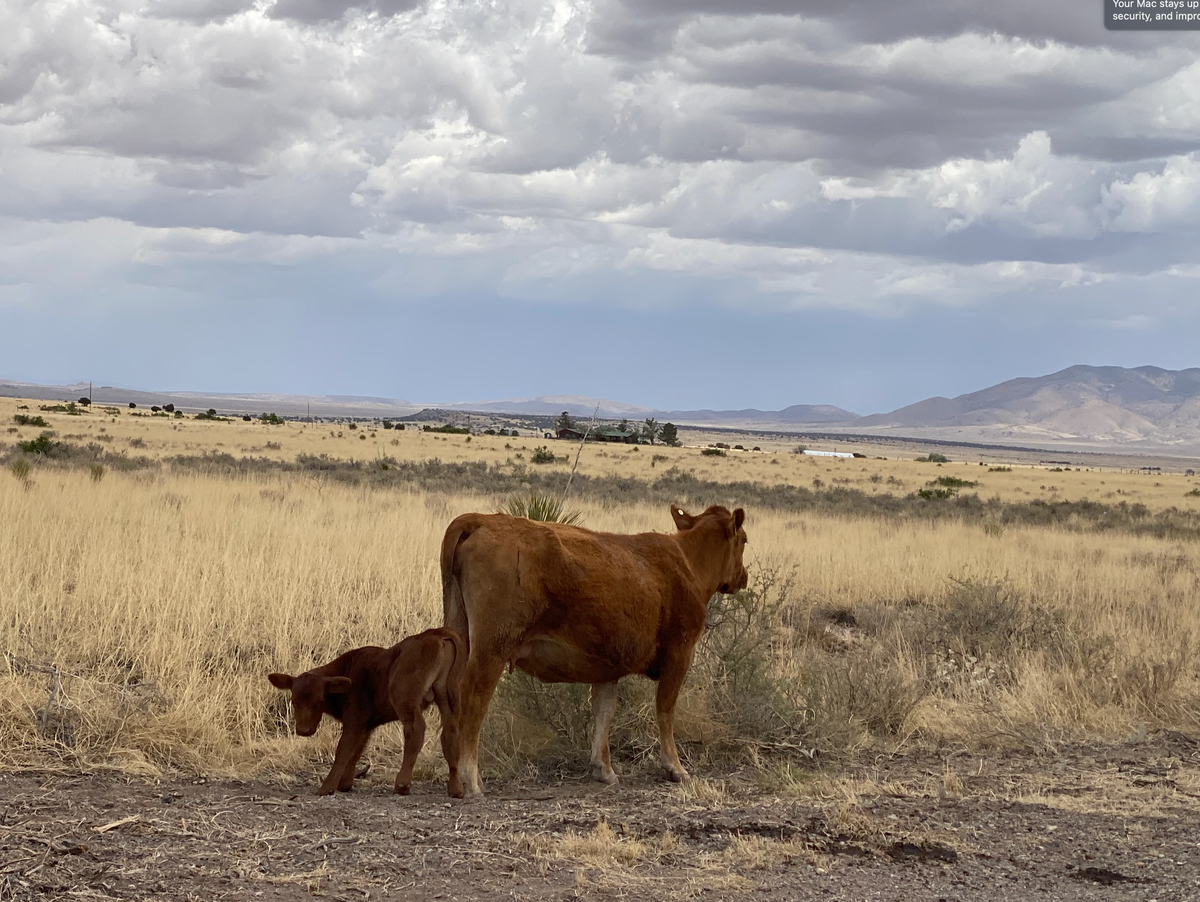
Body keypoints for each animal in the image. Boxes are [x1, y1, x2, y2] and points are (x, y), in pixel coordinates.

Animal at [267, 628, 463, 796]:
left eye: (320, 701)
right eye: (294, 701)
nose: (304, 730)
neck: (348, 671)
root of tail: (435, 633)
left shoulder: (355, 720)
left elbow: (343, 750)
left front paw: (327, 788)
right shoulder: (366, 725)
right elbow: (356, 751)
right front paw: (344, 783)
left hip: (405, 698)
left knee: (416, 729)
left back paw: (402, 784)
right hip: (447, 697)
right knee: (451, 730)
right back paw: (456, 788)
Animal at [441, 508, 744, 796]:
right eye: (743, 540)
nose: (743, 577)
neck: (688, 562)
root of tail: (479, 520)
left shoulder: (608, 667)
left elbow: (604, 711)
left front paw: (604, 770)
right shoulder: (679, 654)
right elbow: (665, 711)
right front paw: (676, 768)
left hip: (460, 634)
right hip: (491, 651)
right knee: (474, 702)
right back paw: (472, 780)